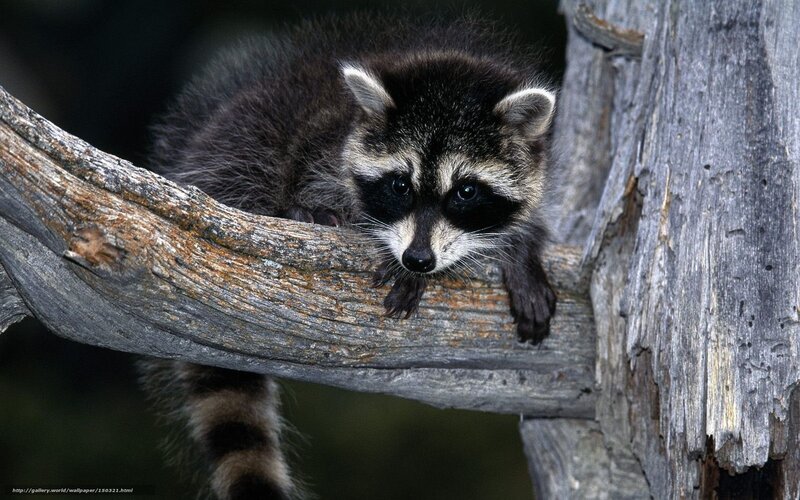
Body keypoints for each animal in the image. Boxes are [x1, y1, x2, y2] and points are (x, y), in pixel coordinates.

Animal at [145, 14, 557, 500]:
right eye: (400, 185)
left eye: (466, 191)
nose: (417, 260)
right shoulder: (321, 144)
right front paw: (383, 248)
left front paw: (521, 249)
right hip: (242, 144)